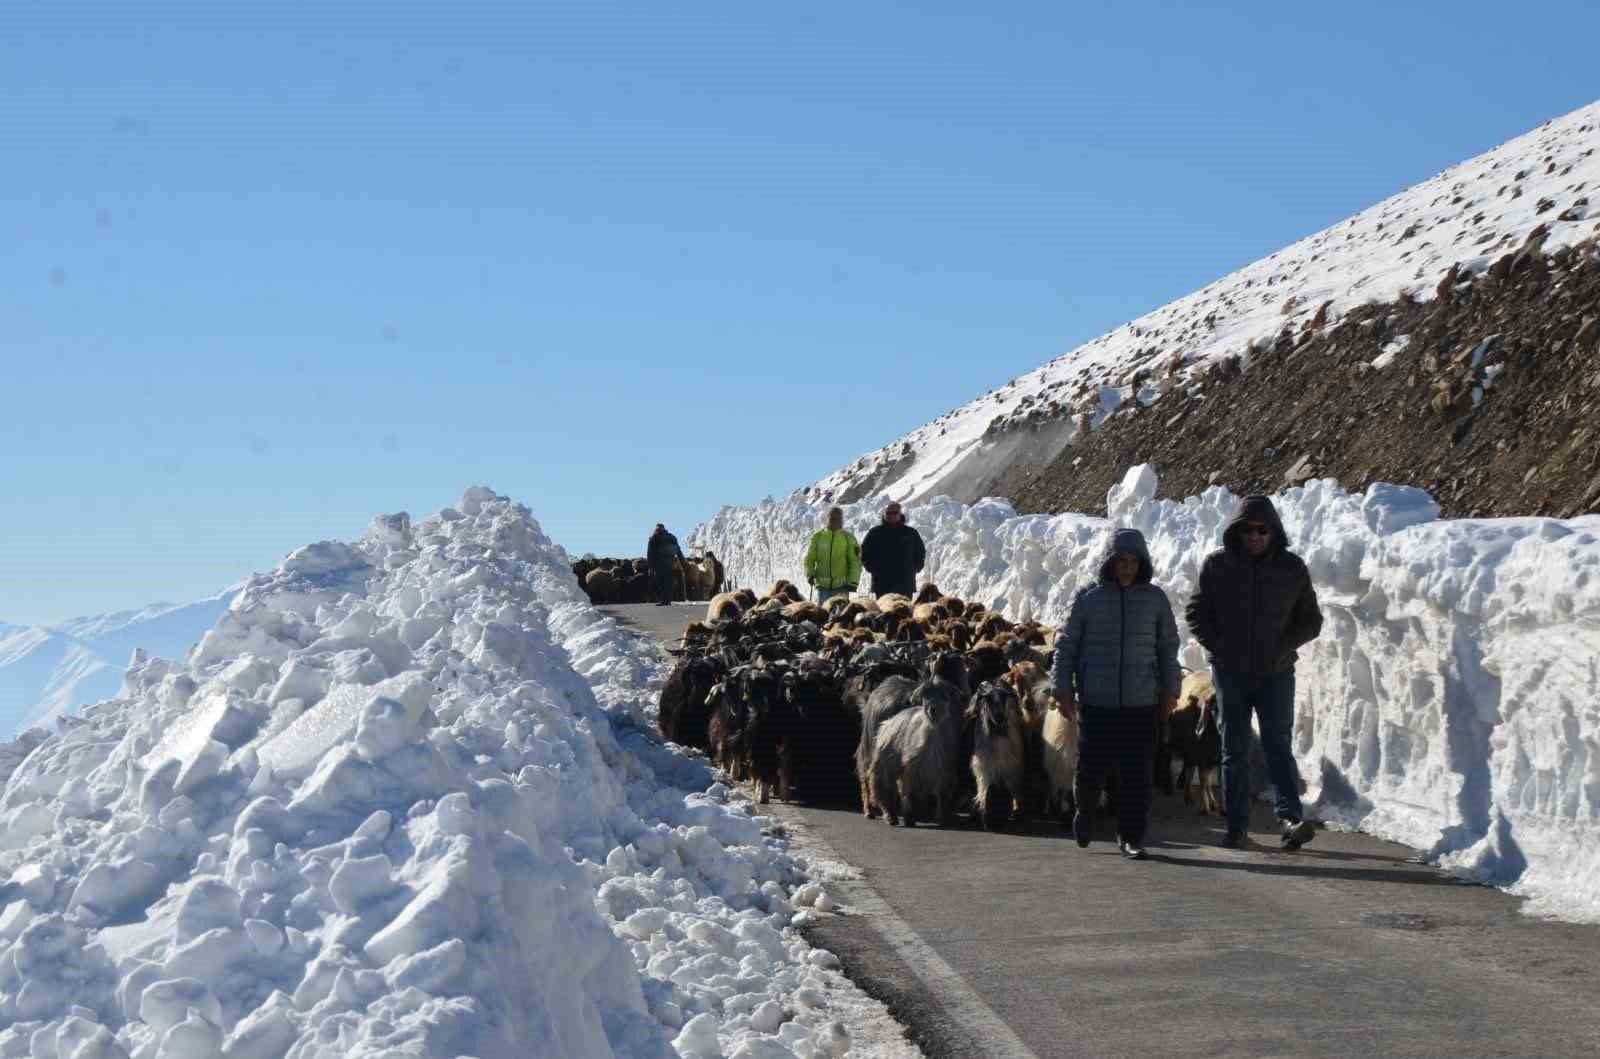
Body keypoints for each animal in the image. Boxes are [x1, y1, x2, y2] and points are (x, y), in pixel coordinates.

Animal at [876, 681, 960, 831]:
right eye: (925, 696)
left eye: (945, 696)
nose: (933, 710)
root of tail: (887, 723)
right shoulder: (912, 768)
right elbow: (910, 793)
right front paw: (909, 818)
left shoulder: (944, 770)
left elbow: (942, 794)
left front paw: (943, 819)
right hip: (887, 764)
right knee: (886, 788)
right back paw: (891, 817)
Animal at [960, 684, 1024, 831]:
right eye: (988, 699)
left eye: (1004, 696)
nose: (999, 717)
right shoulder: (984, 769)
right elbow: (983, 793)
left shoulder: (1009, 769)